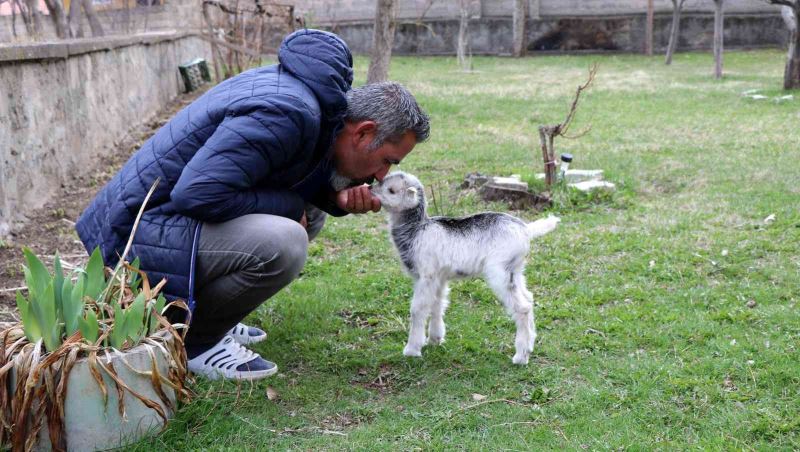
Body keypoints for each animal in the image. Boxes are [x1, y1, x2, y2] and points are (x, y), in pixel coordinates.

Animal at [372, 171, 560, 366]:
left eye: (391, 190)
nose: (370, 189)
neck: (416, 229)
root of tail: (526, 229)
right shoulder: (439, 278)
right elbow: (437, 304)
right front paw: (435, 339)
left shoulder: (426, 276)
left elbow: (418, 309)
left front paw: (411, 350)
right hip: (515, 272)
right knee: (529, 299)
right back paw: (530, 345)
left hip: (499, 272)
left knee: (522, 308)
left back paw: (521, 357)